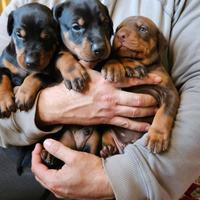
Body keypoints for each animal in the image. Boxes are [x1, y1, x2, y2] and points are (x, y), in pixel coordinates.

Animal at [41, 0, 114, 168]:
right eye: (76, 27)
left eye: (105, 22)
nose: (100, 48)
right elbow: (63, 54)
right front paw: (74, 73)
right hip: (66, 137)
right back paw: (48, 153)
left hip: (93, 141)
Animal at [101, 16, 180, 155]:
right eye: (118, 29)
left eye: (143, 28)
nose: (120, 35)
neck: (146, 65)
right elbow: (118, 57)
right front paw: (117, 66)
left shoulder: (170, 93)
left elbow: (164, 114)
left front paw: (157, 137)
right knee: (106, 131)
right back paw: (108, 147)